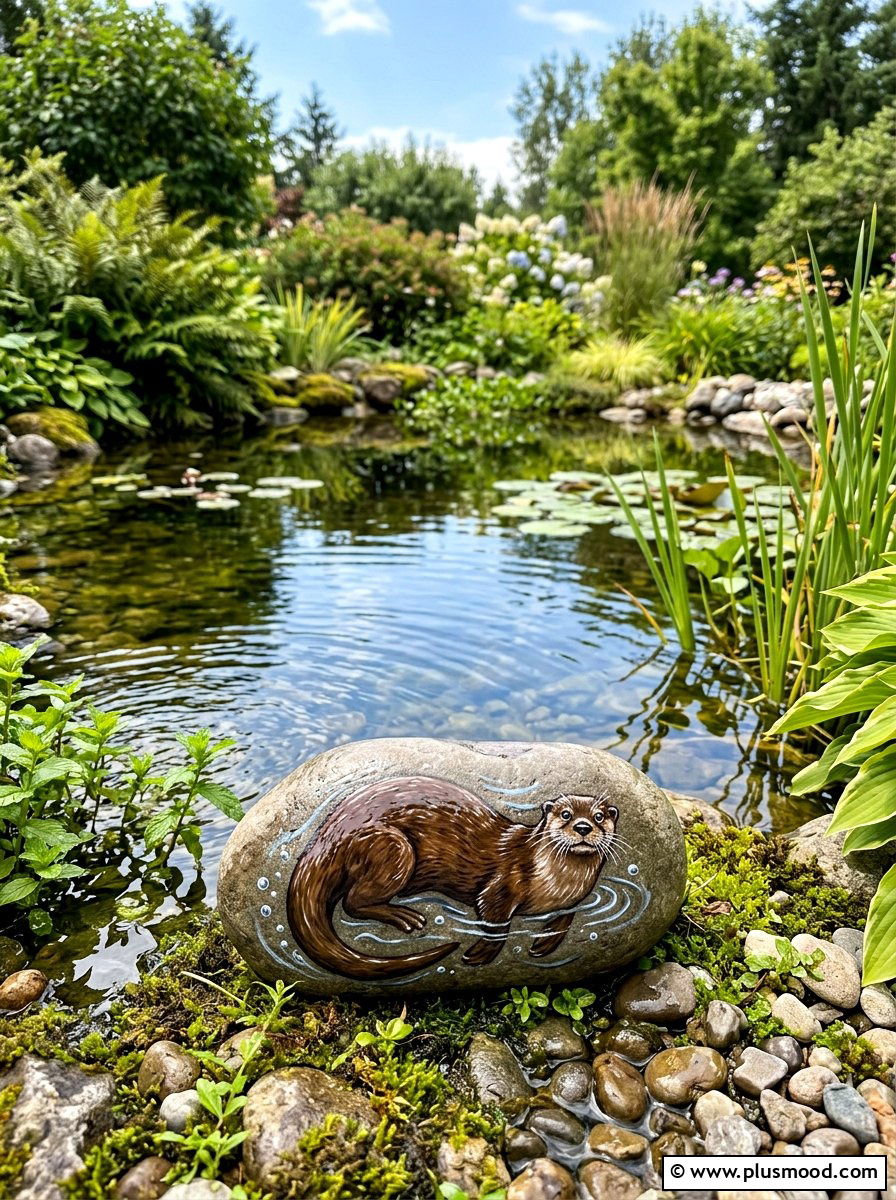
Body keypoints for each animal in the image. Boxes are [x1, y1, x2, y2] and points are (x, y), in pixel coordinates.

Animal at [286, 775, 618, 980]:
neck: (556, 885)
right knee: (353, 901)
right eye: (565, 814)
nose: (584, 827)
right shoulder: (501, 887)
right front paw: (479, 955)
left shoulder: (574, 900)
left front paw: (543, 945)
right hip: (393, 848)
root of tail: (326, 837)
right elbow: (497, 925)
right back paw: (404, 916)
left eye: (600, 816)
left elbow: (565, 920)